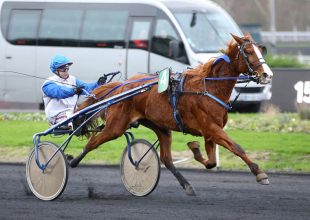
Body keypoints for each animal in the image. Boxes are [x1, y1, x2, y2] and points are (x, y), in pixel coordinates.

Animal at [71, 33, 274, 195]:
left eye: (260, 50)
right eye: (248, 52)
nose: (267, 74)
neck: (208, 87)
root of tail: (122, 86)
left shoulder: (210, 132)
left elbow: (211, 161)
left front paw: (194, 147)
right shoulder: (211, 128)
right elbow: (236, 147)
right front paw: (260, 174)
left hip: (161, 127)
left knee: (166, 159)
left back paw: (187, 185)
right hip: (116, 126)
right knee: (93, 142)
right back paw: (71, 162)